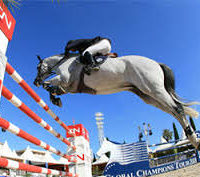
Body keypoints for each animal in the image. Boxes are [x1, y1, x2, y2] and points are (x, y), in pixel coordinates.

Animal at [33, 53, 199, 149]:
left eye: (38, 67)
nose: (35, 82)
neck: (63, 63)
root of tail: (156, 63)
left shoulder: (65, 79)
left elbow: (49, 84)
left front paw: (54, 98)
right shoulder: (68, 87)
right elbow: (53, 88)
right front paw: (56, 99)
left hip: (154, 90)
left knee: (177, 108)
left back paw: (193, 139)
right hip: (148, 96)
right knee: (173, 111)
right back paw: (192, 138)